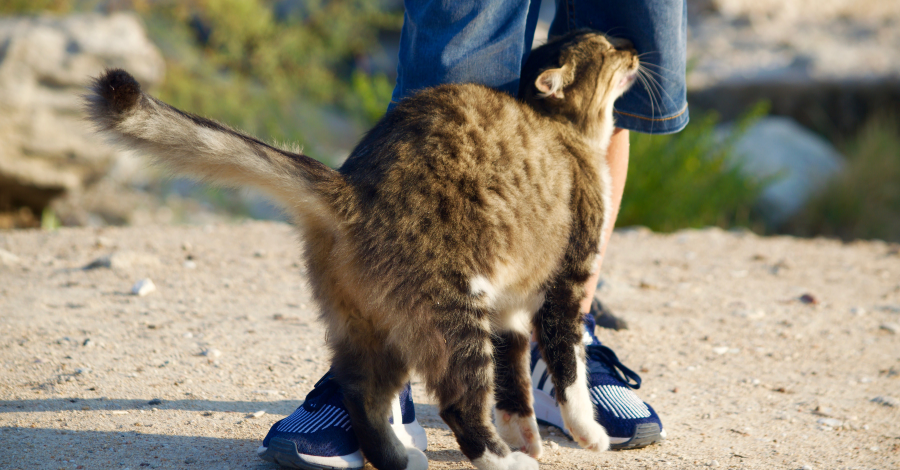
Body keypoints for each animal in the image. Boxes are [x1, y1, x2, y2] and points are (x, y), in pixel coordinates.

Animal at [88, 31, 640, 470]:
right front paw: (587, 433)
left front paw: (524, 433)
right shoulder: (565, 285)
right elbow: (567, 369)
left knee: (362, 396)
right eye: (607, 48)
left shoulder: (508, 309)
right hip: (454, 317)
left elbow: (514, 386)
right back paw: (504, 463)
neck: (566, 133)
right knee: (459, 405)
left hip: (372, 327)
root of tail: (351, 188)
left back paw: (400, 458)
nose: (634, 48)